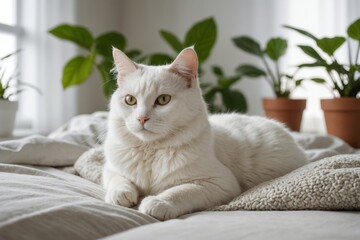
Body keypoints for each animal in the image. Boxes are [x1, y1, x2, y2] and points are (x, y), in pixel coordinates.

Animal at [102, 46, 308, 219]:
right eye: (130, 100)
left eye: (163, 100)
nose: (142, 119)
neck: (151, 151)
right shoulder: (111, 168)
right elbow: (116, 180)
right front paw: (121, 194)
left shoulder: (218, 183)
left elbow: (180, 191)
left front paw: (157, 202)